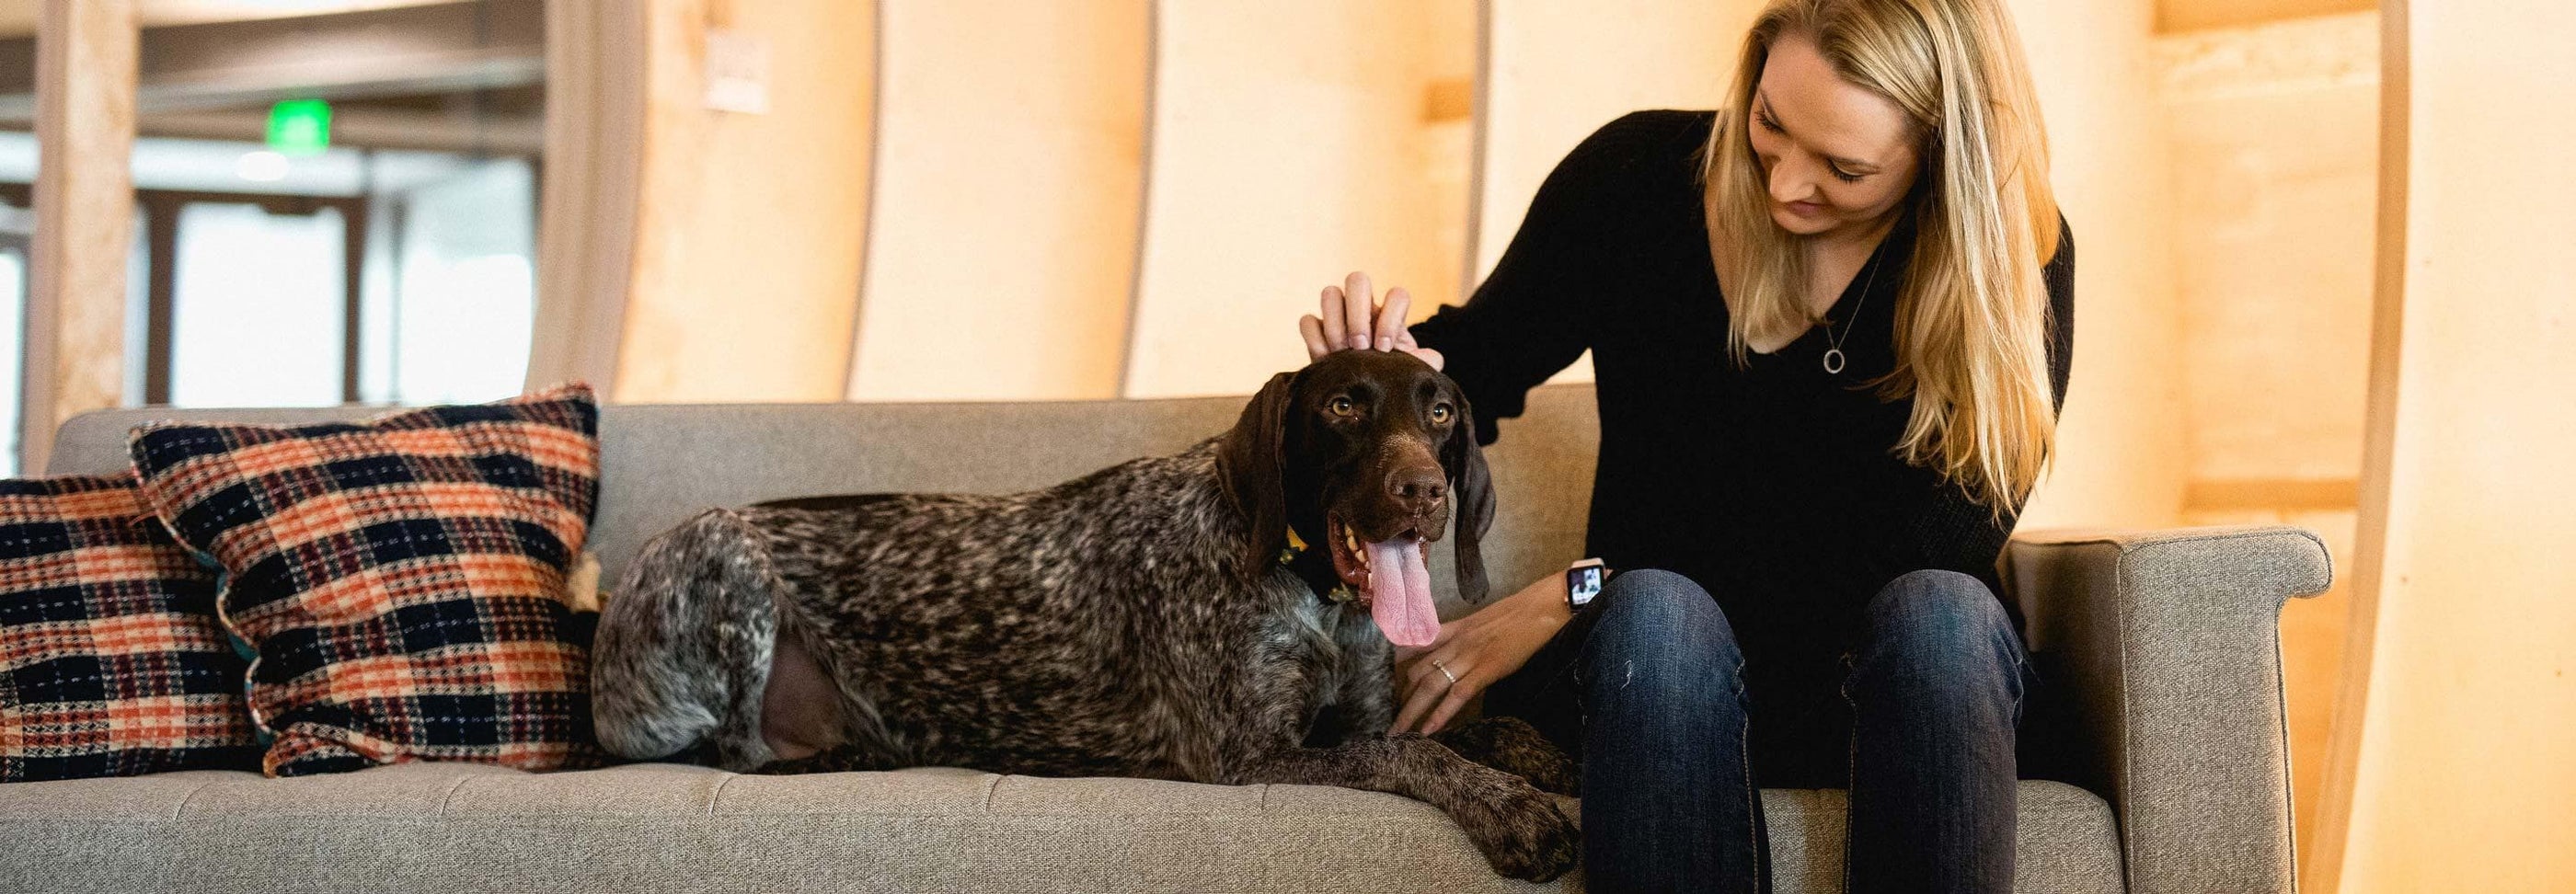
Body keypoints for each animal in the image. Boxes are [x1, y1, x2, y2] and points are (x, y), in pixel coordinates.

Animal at [592, 348, 1576, 880]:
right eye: (1343, 406)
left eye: (1440, 412)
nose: (1426, 491)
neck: (1314, 599)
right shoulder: (1249, 756)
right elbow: (1410, 754)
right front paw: (1513, 808)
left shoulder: (1357, 712)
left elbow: (1468, 731)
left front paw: (1542, 757)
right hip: (721, 548)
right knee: (734, 755)